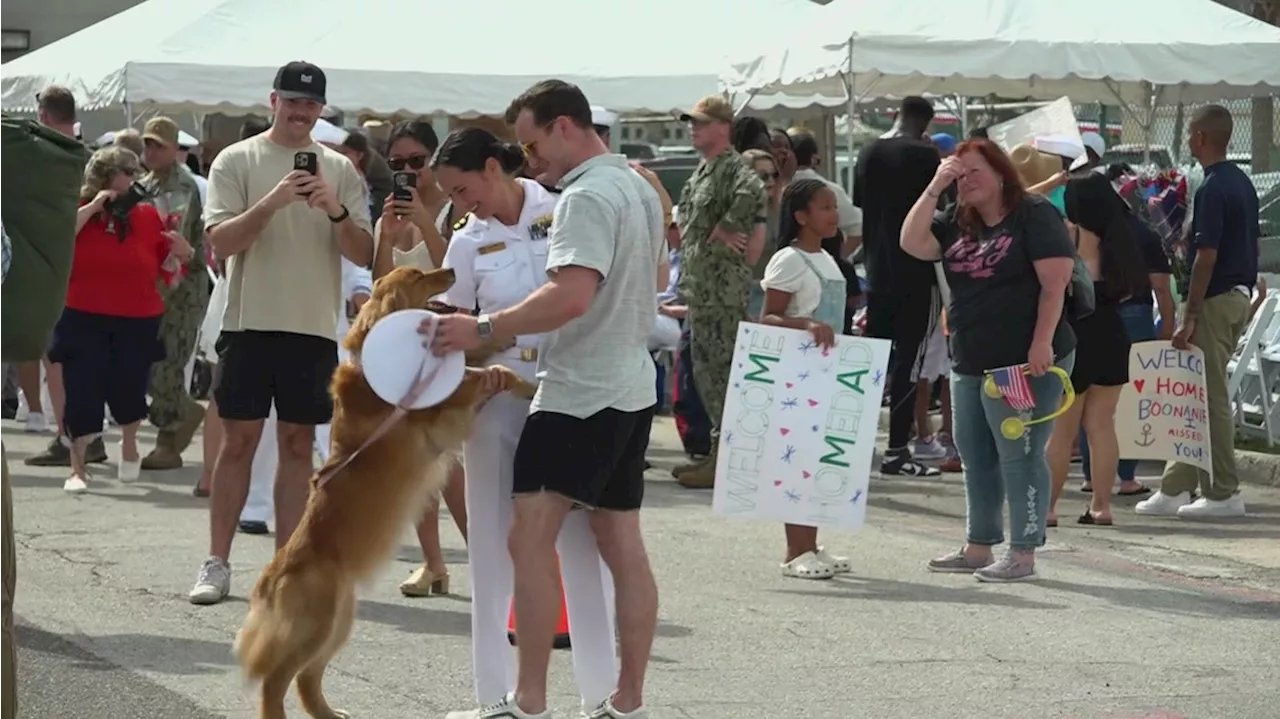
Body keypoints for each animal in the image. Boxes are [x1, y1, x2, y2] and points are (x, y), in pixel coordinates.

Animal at [235, 266, 535, 711]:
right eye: (419, 275)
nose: (450, 268)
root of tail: (271, 577)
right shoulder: (442, 409)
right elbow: (485, 376)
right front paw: (526, 384)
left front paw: (497, 339)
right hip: (318, 623)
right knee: (276, 682)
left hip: (340, 620)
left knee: (307, 679)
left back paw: (332, 714)